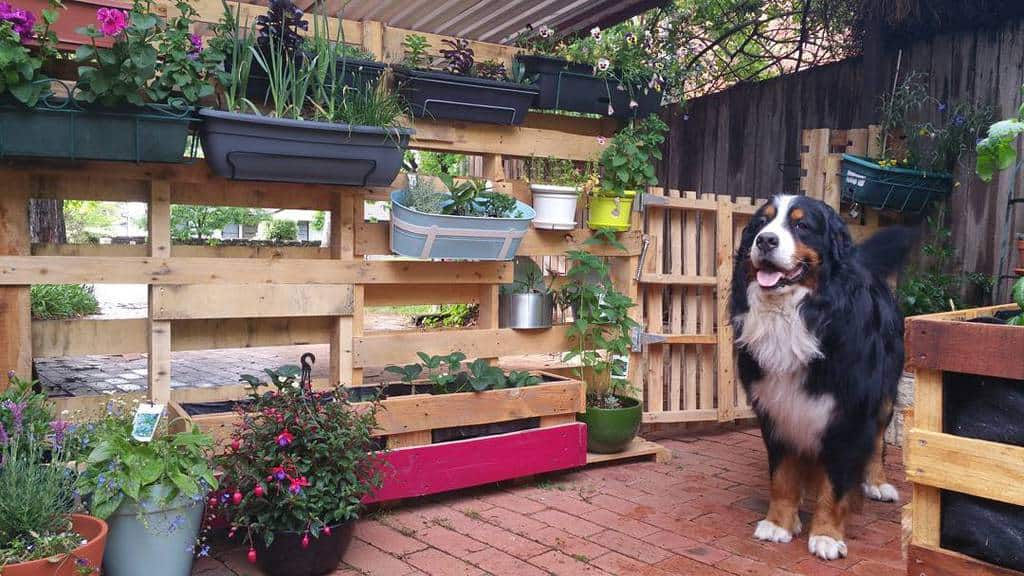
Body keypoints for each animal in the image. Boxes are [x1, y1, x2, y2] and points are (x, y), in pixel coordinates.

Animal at [729, 194, 913, 557]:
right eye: (761, 223)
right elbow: (782, 475)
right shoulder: (778, 407)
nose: (765, 241)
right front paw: (779, 523)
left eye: (802, 225)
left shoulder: (849, 412)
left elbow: (837, 482)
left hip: (883, 398)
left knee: (876, 443)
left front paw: (827, 534)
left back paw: (876, 483)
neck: (796, 314)